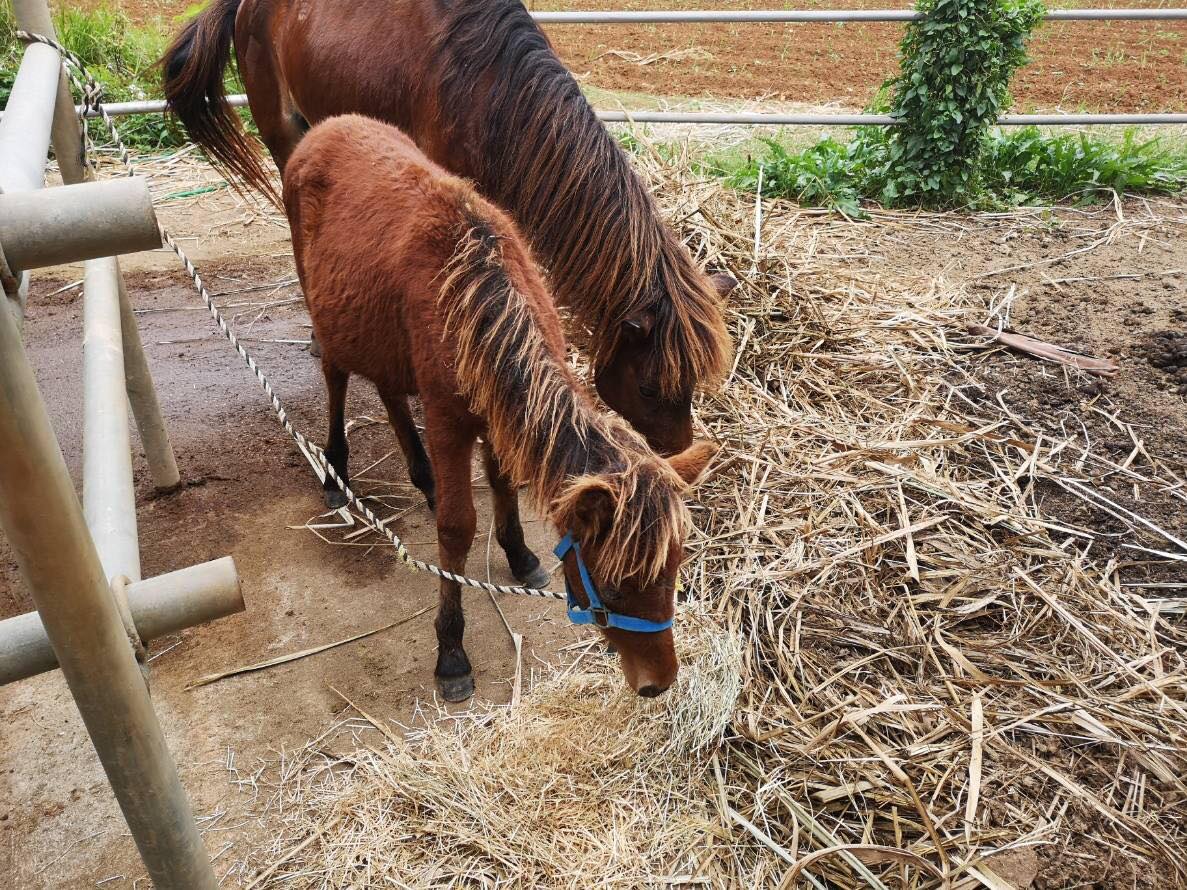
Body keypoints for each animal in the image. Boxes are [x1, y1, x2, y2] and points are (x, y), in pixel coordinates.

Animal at [283, 115, 716, 701]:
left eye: (674, 569)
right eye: (612, 583)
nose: (658, 682)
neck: (479, 306)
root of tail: (325, 128)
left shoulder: (499, 414)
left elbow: (505, 481)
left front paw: (521, 555)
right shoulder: (449, 422)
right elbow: (457, 528)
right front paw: (451, 651)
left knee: (390, 390)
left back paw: (423, 476)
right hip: (324, 309)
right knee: (335, 376)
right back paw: (335, 473)